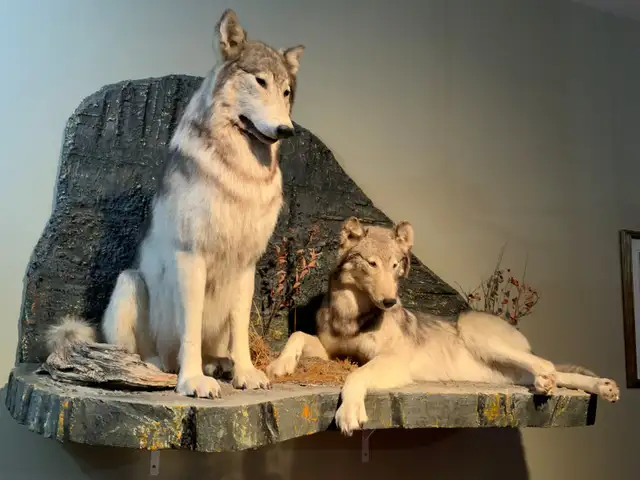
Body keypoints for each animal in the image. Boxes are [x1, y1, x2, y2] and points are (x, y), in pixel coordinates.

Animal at [46, 9, 305, 398]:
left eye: (286, 91)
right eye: (260, 82)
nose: (286, 129)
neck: (241, 175)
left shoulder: (246, 265)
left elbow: (241, 334)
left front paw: (245, 373)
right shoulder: (191, 258)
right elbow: (191, 330)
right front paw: (193, 381)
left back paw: (219, 365)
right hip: (130, 282)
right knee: (141, 353)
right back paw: (157, 368)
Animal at [267, 217, 620, 435]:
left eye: (395, 266)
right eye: (372, 264)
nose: (391, 302)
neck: (351, 316)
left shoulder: (393, 362)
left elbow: (356, 375)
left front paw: (349, 411)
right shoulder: (330, 351)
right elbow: (298, 335)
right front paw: (279, 365)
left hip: (475, 332)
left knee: (547, 364)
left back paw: (564, 383)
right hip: (505, 372)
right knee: (559, 374)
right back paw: (603, 386)